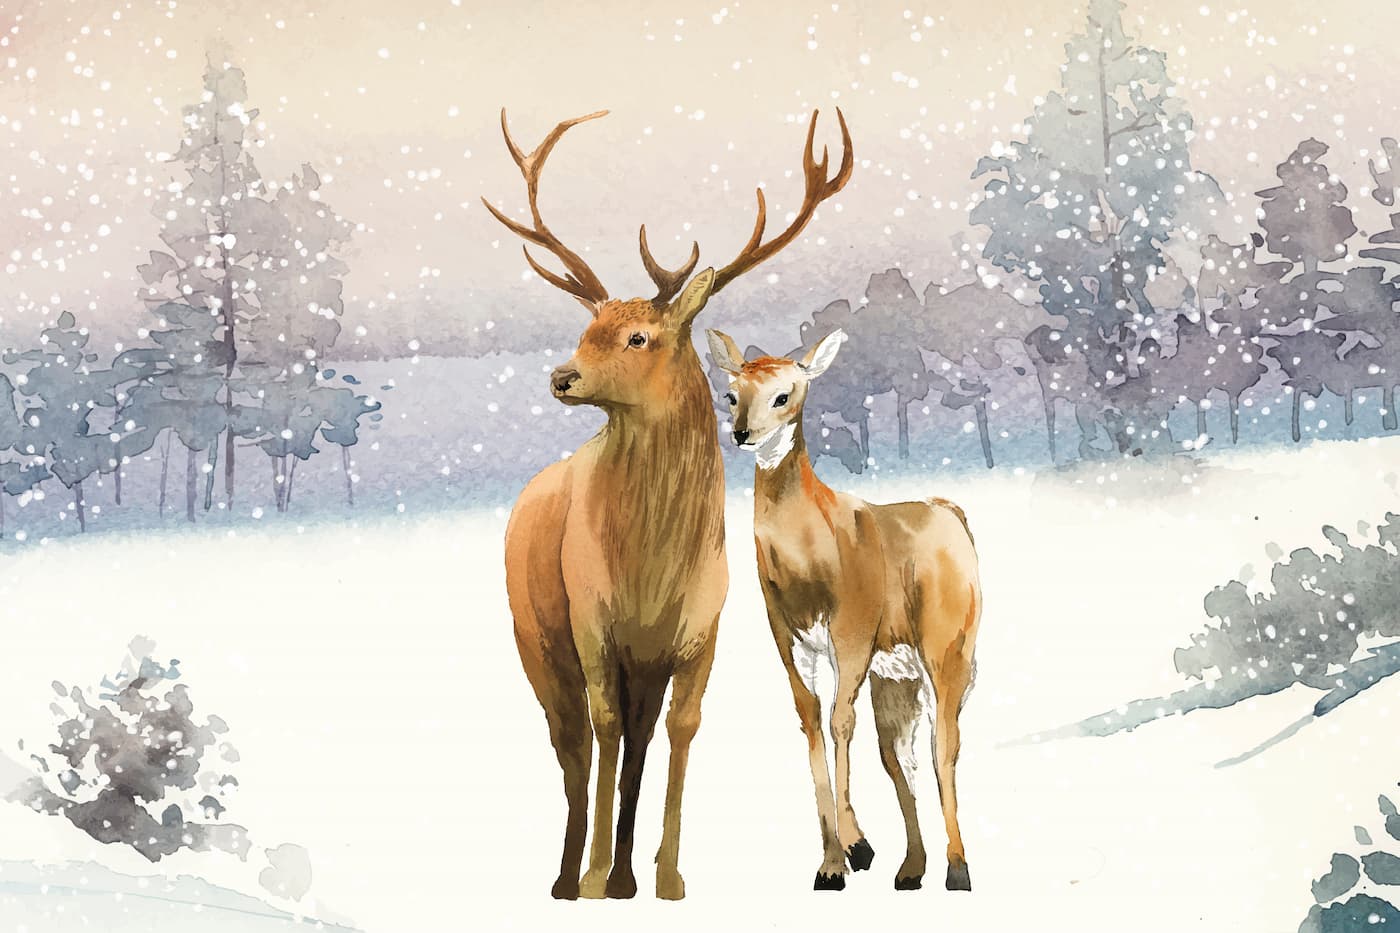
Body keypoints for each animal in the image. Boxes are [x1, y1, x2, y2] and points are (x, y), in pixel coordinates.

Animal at [488, 107, 852, 900]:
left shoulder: (700, 630)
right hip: (536, 637)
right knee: (571, 741)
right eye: (586, 328)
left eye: (638, 335)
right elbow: (600, 729)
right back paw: (567, 876)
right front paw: (598, 874)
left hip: (638, 664)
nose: (561, 376)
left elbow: (680, 729)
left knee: (632, 741)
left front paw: (666, 875)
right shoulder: (592, 621)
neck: (650, 569)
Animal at [705, 326, 982, 894]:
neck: (809, 562)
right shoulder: (787, 635)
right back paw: (911, 868)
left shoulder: (852, 626)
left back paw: (958, 869)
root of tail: (951, 512)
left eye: (784, 395)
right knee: (900, 754)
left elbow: (840, 722)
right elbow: (812, 721)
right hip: (896, 672)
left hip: (948, 644)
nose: (742, 434)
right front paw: (833, 864)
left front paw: (857, 847)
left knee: (945, 744)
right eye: (731, 393)